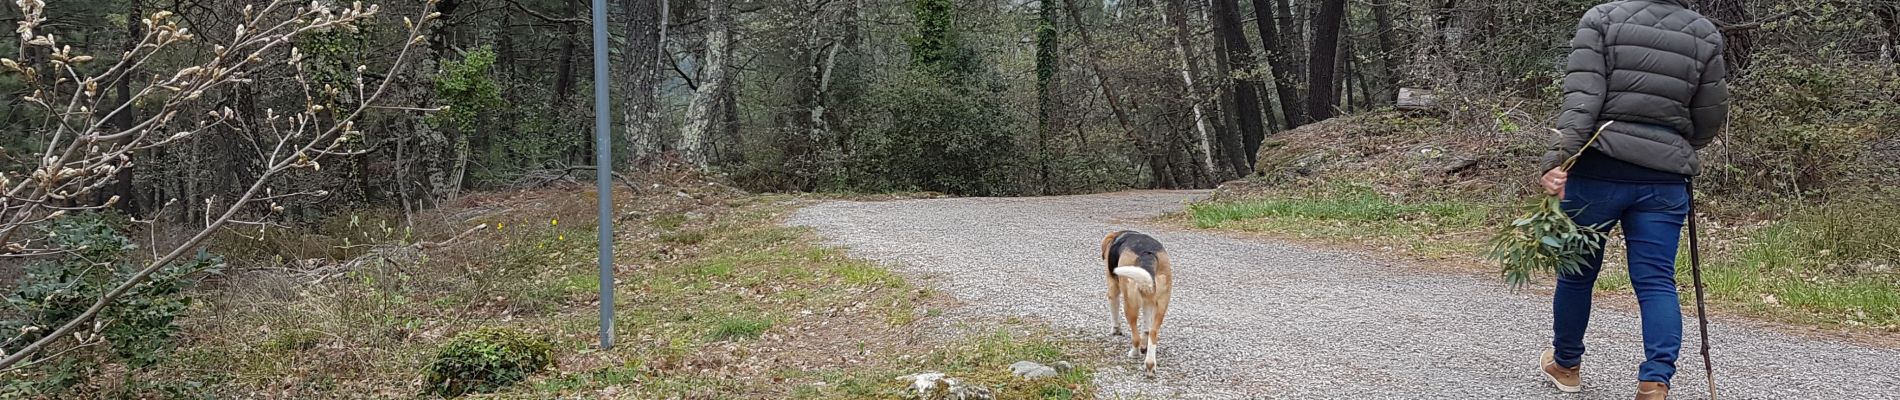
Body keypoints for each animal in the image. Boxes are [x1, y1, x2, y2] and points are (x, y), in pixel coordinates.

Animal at [1102, 229, 1170, 373]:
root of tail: (1147, 254)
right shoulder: (1148, 301)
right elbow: (1146, 329)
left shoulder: (1112, 288)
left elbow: (1114, 313)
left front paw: (1115, 330)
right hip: (1161, 304)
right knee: (1153, 332)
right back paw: (1150, 363)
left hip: (1130, 303)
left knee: (1136, 337)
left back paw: (1134, 353)